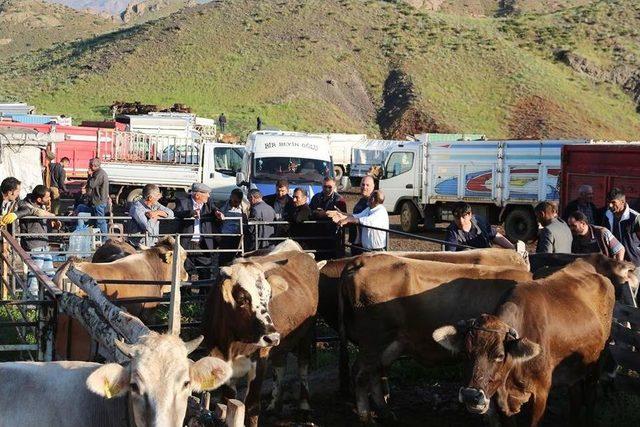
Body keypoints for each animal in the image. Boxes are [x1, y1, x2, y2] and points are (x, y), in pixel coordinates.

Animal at [202, 244, 320, 427]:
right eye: (242, 298)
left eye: (269, 296)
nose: (272, 337)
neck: (232, 344)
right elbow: (227, 400)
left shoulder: (260, 360)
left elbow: (251, 405)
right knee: (280, 365)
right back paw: (274, 405)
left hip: (307, 333)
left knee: (303, 366)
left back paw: (304, 407)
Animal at [432, 260, 616, 426]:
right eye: (465, 352)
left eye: (500, 355)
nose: (471, 396)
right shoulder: (501, 399)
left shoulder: (541, 392)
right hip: (574, 371)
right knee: (575, 397)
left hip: (596, 365)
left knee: (591, 397)